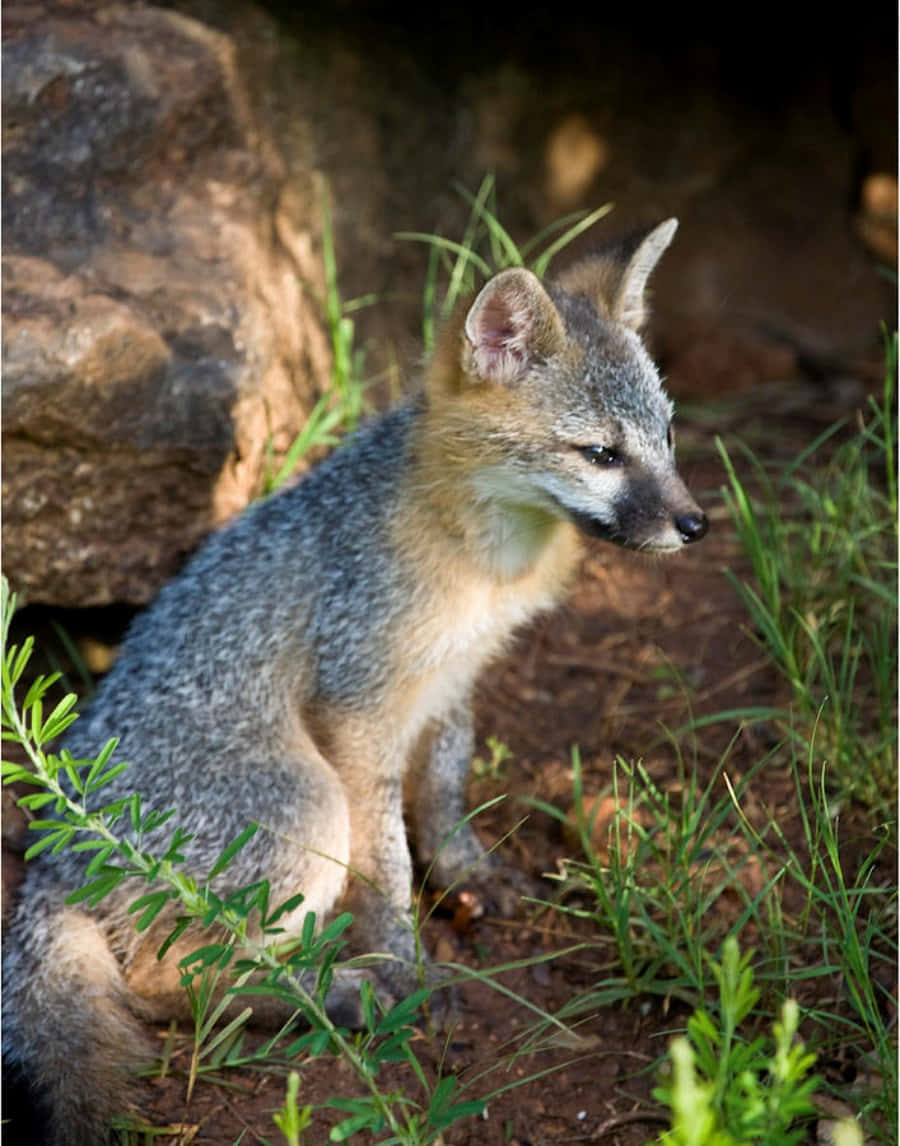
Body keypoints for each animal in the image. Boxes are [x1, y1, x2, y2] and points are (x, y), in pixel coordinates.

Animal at [3, 217, 707, 1145]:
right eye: (601, 454)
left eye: (667, 439)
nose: (695, 523)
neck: (483, 566)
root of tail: (54, 858)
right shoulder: (359, 709)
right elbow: (387, 867)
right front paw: (406, 972)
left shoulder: (451, 684)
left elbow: (443, 794)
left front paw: (471, 875)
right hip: (308, 800)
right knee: (167, 976)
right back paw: (336, 997)